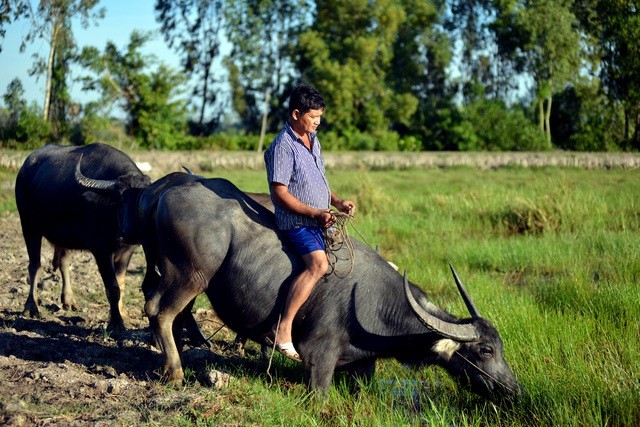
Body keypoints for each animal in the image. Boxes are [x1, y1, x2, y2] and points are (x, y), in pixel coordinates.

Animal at [15, 144, 151, 332]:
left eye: (142, 202)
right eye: (120, 201)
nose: (129, 232)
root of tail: (25, 168)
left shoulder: (127, 252)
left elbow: (121, 284)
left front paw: (122, 315)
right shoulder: (101, 250)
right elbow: (113, 288)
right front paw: (116, 323)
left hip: (64, 237)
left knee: (63, 262)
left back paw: (69, 301)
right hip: (29, 226)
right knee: (35, 265)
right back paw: (31, 307)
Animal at [75, 171, 520, 402]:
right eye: (484, 351)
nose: (513, 388)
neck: (376, 305)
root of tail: (162, 192)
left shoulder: (363, 365)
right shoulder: (319, 357)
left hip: (166, 270)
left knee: (161, 307)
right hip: (190, 274)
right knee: (161, 310)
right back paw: (175, 371)